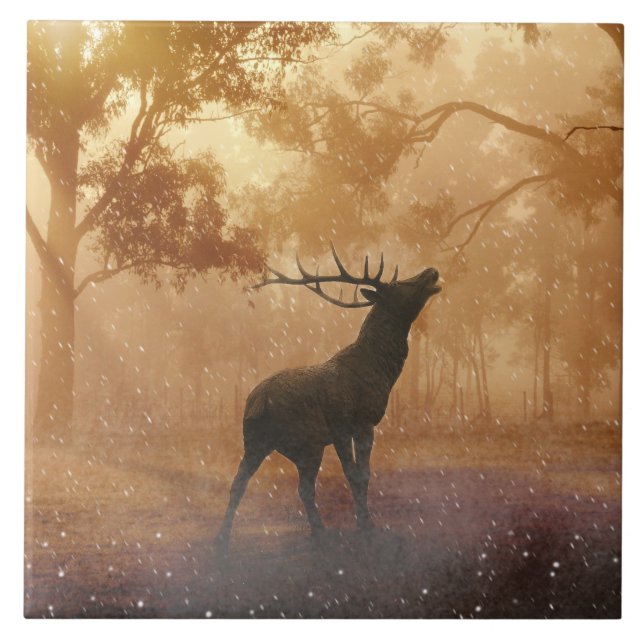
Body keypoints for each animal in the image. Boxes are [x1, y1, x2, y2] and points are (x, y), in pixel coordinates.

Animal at [216, 243, 441, 551]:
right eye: (398, 284)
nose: (432, 270)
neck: (381, 371)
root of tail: (257, 402)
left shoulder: (346, 430)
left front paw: (363, 522)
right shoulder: (354, 423)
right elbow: (359, 475)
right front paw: (367, 526)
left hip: (260, 441)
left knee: (246, 482)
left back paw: (224, 536)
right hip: (306, 440)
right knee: (300, 487)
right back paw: (319, 530)